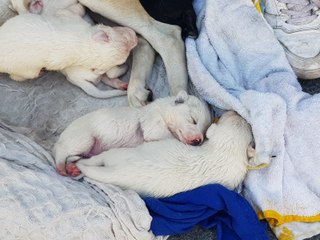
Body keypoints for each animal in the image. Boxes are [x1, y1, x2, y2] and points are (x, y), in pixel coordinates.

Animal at [0, 11, 137, 98]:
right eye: (125, 39)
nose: (136, 38)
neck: (87, 44)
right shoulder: (71, 17)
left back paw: (123, 84)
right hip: (25, 70)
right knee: (16, 77)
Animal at [53, 90, 211, 176]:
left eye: (205, 131)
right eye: (193, 120)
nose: (198, 141)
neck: (163, 112)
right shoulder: (153, 124)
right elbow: (162, 135)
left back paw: (71, 167)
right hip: (83, 138)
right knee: (61, 153)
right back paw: (61, 167)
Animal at [74, 110, 256, 197]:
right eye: (234, 117)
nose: (234, 111)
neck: (227, 149)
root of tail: (117, 172)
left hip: (116, 154)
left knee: (95, 160)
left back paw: (79, 165)